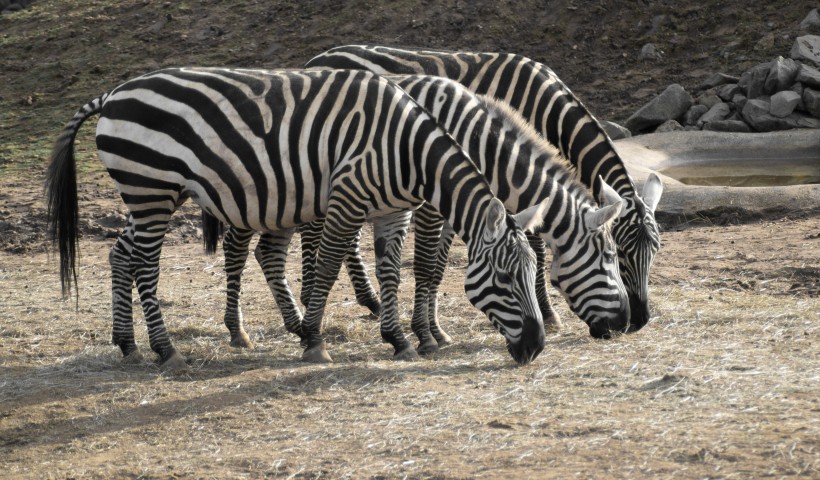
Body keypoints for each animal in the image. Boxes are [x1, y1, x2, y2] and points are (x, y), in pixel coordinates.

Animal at [48, 66, 556, 368]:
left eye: (533, 275)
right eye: (506, 279)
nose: (536, 348)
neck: (407, 149)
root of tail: (113, 93)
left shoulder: (393, 211)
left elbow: (391, 272)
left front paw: (397, 338)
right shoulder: (349, 198)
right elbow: (328, 266)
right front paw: (314, 340)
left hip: (146, 196)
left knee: (120, 255)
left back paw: (128, 343)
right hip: (151, 189)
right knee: (145, 265)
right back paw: (165, 349)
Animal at [216, 73, 628, 354]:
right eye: (612, 258)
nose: (630, 322)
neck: (473, 141)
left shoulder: (452, 212)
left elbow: (438, 268)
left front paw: (434, 330)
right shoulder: (431, 207)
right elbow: (427, 266)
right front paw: (424, 334)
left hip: (289, 202)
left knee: (269, 251)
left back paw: (303, 321)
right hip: (259, 194)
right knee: (237, 248)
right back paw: (238, 331)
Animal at [308, 47, 668, 336]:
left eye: (654, 252)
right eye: (621, 254)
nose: (639, 321)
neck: (546, 107)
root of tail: (318, 57)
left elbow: (440, 263)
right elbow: (536, 250)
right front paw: (548, 314)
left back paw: (368, 301)